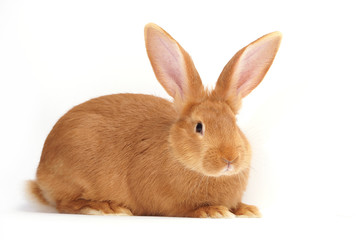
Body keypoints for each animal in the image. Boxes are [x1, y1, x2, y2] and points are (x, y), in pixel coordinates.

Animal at [27, 23, 282, 218]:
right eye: (199, 127)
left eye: (234, 124)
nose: (230, 159)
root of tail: (41, 174)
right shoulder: (168, 203)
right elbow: (187, 209)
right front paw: (214, 211)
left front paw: (247, 210)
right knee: (65, 203)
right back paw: (106, 207)